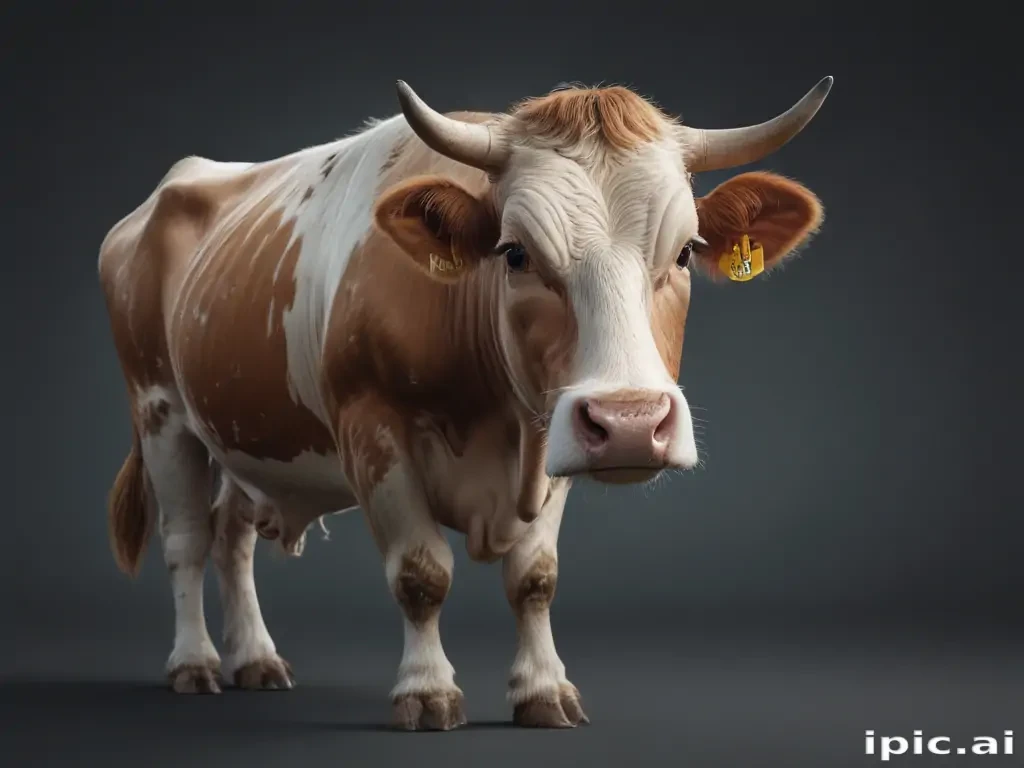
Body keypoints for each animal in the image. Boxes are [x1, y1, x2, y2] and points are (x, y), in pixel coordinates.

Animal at [98, 76, 832, 730]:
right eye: (514, 254)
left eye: (685, 253)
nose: (629, 423)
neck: (499, 428)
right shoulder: (373, 430)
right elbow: (421, 572)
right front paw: (426, 691)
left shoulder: (553, 433)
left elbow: (535, 577)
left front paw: (544, 691)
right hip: (160, 410)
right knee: (187, 541)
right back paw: (193, 664)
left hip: (242, 434)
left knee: (233, 539)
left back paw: (256, 659)